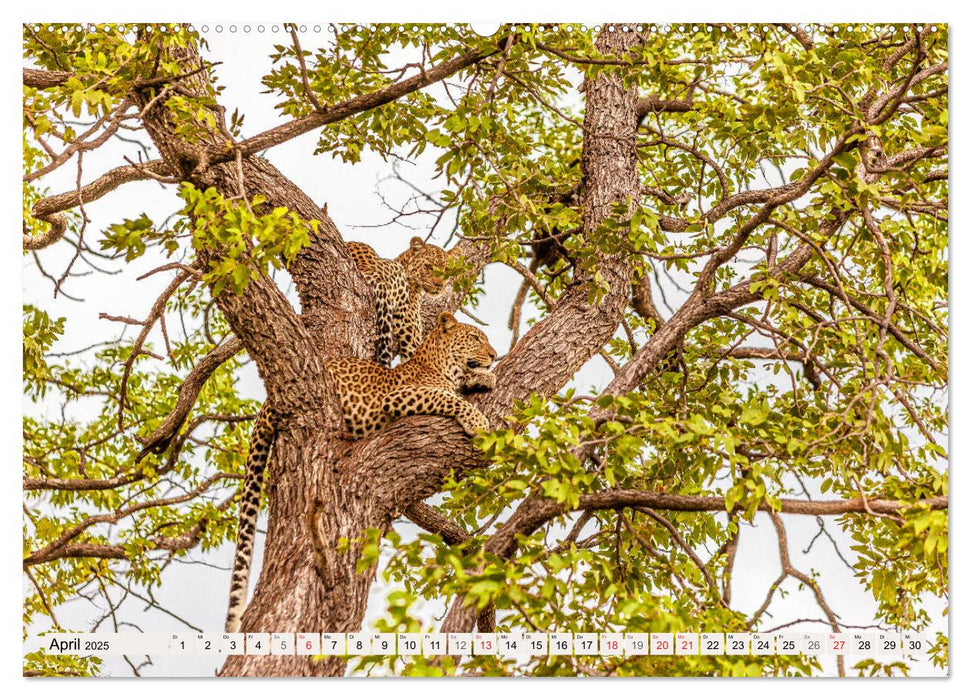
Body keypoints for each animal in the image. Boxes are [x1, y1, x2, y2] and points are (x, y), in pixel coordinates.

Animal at [225, 314, 498, 636]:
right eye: (475, 337)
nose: (494, 356)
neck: (438, 364)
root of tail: (267, 403)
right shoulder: (399, 396)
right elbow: (448, 398)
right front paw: (477, 419)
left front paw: (484, 378)